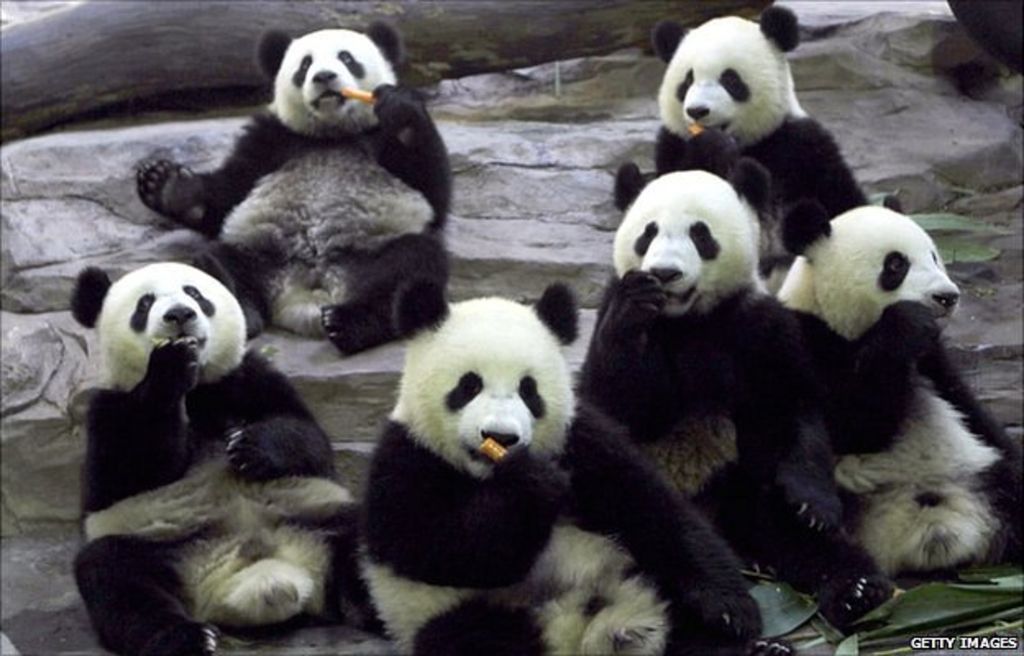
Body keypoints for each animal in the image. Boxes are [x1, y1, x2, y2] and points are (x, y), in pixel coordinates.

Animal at [70, 263, 372, 656]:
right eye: (144, 303)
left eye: (195, 294)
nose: (179, 315)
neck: (198, 386)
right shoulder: (108, 408)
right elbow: (126, 471)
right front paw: (168, 368)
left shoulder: (247, 376)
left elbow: (308, 438)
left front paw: (249, 447)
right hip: (160, 547)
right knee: (118, 581)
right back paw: (189, 639)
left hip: (318, 515)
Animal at [135, 23, 451, 355]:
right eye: (305, 64)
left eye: (347, 58)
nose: (324, 76)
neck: (330, 134)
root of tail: (307, 297)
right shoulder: (273, 139)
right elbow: (227, 195)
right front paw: (164, 185)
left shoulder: (377, 138)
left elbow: (433, 194)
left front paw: (401, 110)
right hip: (263, 255)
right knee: (217, 258)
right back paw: (237, 304)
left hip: (366, 257)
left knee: (410, 266)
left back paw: (349, 324)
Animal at [359, 281, 792, 656]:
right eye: (469, 386)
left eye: (529, 390)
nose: (501, 436)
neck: (485, 473)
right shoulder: (405, 458)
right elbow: (440, 545)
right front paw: (531, 484)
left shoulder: (580, 440)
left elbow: (655, 510)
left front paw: (729, 611)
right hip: (446, 612)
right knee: (472, 638)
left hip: (629, 566)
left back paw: (744, 645)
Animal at [580, 161, 895, 630]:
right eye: (647, 234)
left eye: (700, 234)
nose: (665, 273)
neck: (688, 321)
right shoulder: (615, 318)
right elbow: (615, 404)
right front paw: (636, 304)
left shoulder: (758, 325)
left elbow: (793, 408)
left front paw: (813, 505)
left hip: (745, 490)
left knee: (793, 531)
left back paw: (856, 590)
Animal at [779, 201, 1023, 575]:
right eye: (896, 264)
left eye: (934, 256)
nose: (947, 297)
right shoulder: (806, 340)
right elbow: (854, 426)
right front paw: (906, 325)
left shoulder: (935, 364)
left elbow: (973, 414)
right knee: (794, 532)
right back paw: (857, 583)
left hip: (985, 476)